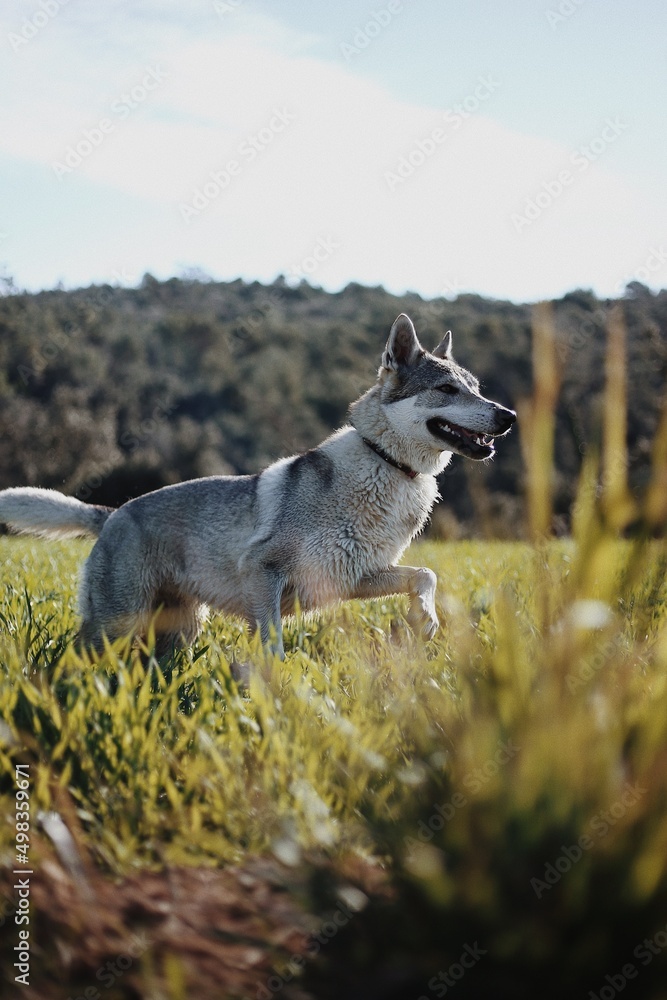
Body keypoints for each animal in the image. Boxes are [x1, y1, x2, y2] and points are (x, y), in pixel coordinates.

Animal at [0, 312, 516, 656]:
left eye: (476, 388)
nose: (509, 416)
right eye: (447, 390)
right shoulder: (263, 572)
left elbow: (425, 574)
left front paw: (424, 619)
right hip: (118, 623)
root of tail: (112, 513)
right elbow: (273, 647)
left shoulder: (351, 578)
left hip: (176, 630)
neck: (386, 467)